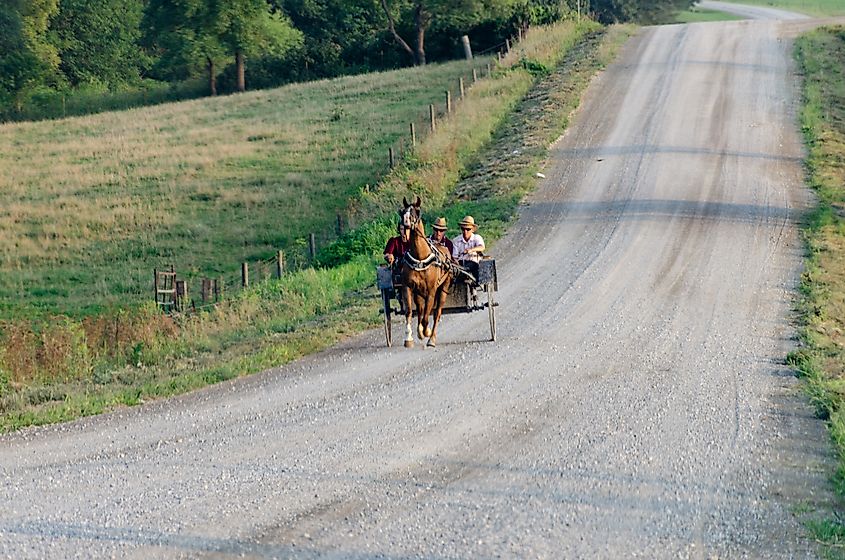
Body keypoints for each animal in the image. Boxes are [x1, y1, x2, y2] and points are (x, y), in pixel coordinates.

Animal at [398, 196, 452, 346]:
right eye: (403, 211)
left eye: (416, 211)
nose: (405, 222)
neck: (420, 257)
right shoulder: (408, 287)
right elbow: (409, 312)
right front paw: (409, 337)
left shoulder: (431, 291)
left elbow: (427, 316)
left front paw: (426, 331)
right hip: (419, 293)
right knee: (421, 309)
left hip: (443, 289)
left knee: (437, 312)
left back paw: (431, 338)